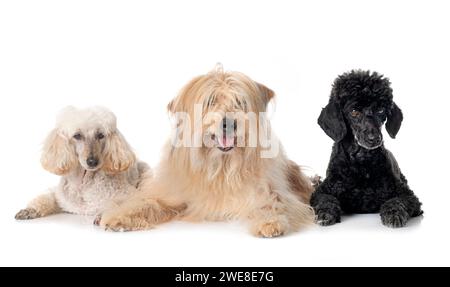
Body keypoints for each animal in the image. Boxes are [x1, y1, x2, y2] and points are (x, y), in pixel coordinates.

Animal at [14, 106, 151, 220]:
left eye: (100, 135)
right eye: (77, 136)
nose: (92, 162)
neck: (82, 183)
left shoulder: (130, 195)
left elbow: (122, 204)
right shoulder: (60, 198)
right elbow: (47, 198)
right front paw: (30, 210)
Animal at [100, 68, 314, 238]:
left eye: (239, 101)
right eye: (210, 101)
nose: (229, 122)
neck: (220, 168)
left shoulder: (273, 192)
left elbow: (274, 203)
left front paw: (270, 221)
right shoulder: (173, 194)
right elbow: (146, 202)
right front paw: (118, 216)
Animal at [312, 71, 422, 228]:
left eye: (381, 110)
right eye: (354, 111)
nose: (374, 138)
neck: (361, 163)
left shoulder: (408, 195)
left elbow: (397, 201)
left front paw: (393, 213)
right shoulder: (322, 190)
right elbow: (326, 199)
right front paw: (325, 213)